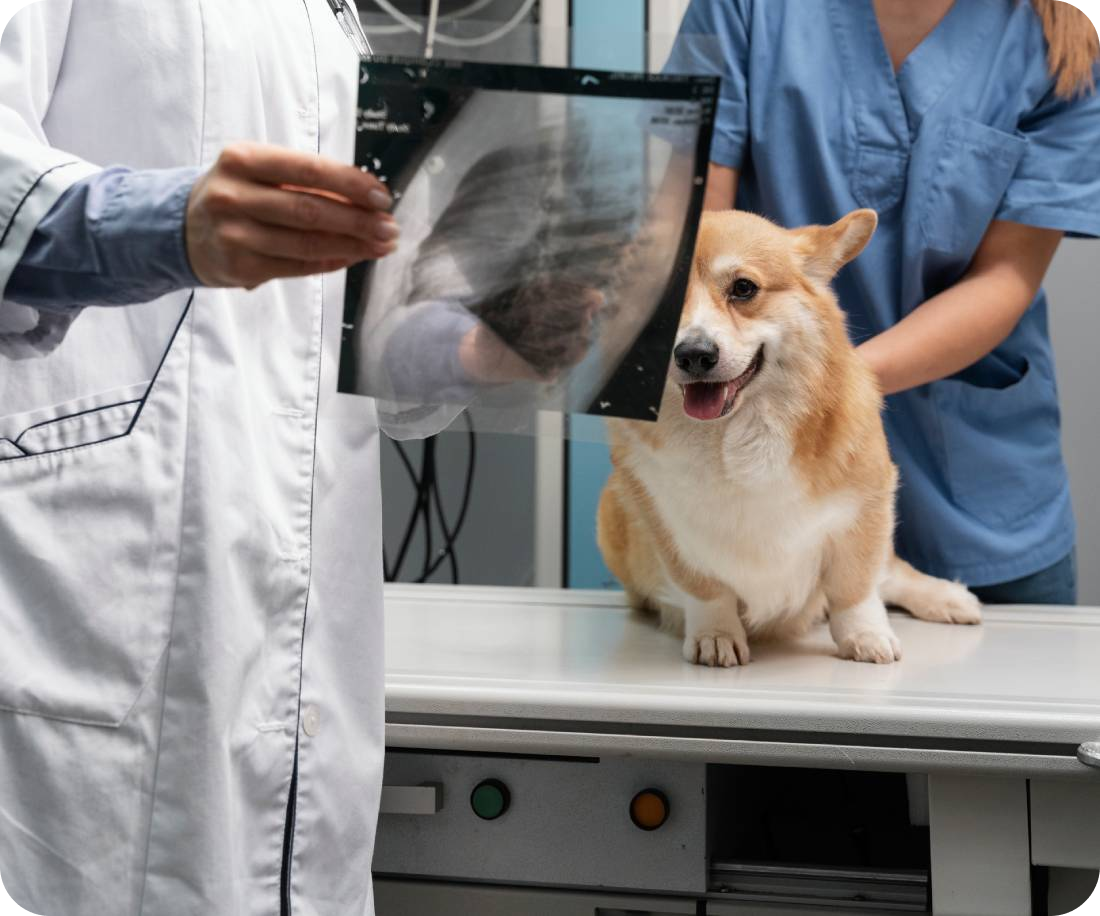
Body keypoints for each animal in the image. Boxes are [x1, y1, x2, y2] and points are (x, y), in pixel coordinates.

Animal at [598, 208, 985, 664]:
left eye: (743, 288)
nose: (693, 354)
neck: (736, 435)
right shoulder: (666, 525)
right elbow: (706, 589)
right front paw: (715, 635)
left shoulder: (866, 505)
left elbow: (856, 586)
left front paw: (866, 636)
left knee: (889, 573)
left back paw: (949, 599)